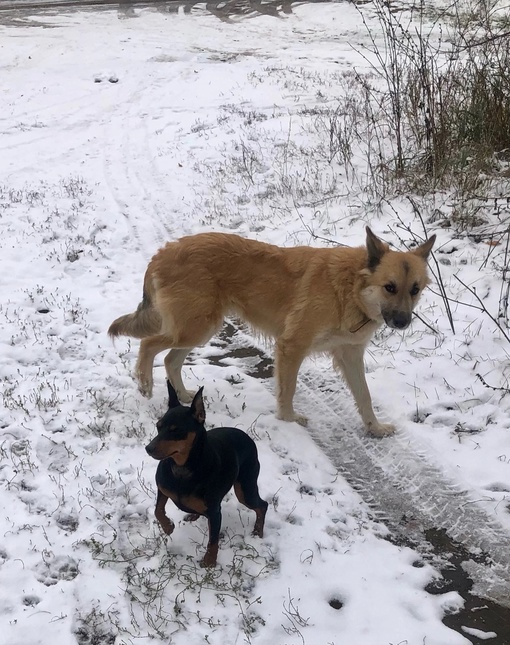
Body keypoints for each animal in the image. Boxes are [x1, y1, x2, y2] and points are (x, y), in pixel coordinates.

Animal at [107, 228, 434, 438]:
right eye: (389, 287)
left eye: (414, 290)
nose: (403, 322)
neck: (350, 288)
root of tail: (163, 253)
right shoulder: (292, 346)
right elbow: (288, 389)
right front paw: (288, 419)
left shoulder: (350, 355)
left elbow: (364, 396)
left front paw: (374, 428)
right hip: (195, 328)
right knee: (149, 345)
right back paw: (145, 385)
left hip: (200, 328)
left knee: (170, 359)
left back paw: (185, 394)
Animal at [144, 380, 266, 568]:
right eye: (158, 426)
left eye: (176, 430)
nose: (148, 448)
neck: (182, 468)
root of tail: (247, 437)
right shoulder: (162, 489)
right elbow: (158, 510)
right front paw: (168, 527)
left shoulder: (215, 512)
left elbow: (213, 540)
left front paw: (209, 561)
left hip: (245, 489)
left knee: (262, 506)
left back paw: (258, 531)